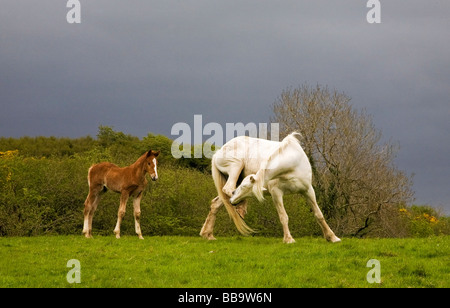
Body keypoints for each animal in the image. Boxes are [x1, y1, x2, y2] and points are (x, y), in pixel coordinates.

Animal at [199, 132, 340, 243]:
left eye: (244, 186)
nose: (234, 197)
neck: (293, 163)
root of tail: (217, 153)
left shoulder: (308, 191)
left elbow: (319, 214)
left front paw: (332, 237)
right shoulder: (276, 193)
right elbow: (283, 217)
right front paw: (288, 239)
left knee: (217, 202)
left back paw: (208, 234)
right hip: (236, 166)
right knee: (227, 189)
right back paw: (240, 207)